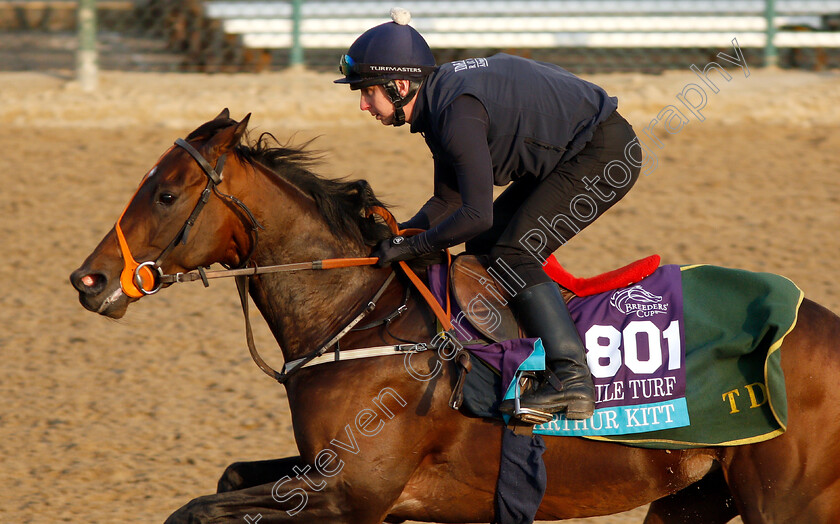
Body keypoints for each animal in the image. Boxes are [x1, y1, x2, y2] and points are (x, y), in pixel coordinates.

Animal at [70, 111, 840, 524]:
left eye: (167, 195)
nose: (89, 279)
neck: (362, 317)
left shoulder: (351, 493)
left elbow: (195, 507)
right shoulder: (331, 474)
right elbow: (227, 478)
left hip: (788, 504)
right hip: (697, 495)